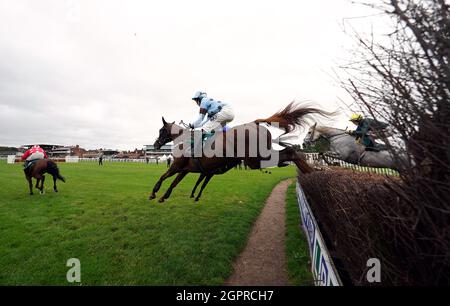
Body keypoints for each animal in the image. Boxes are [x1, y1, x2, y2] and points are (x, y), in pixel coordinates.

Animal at [149, 102, 328, 203]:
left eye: (161, 130)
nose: (156, 144)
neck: (184, 139)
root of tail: (255, 123)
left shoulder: (177, 167)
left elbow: (163, 176)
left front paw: (154, 192)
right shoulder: (186, 169)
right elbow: (173, 183)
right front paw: (164, 196)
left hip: (255, 159)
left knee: (289, 153)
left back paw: (312, 173)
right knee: (291, 151)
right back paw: (313, 173)